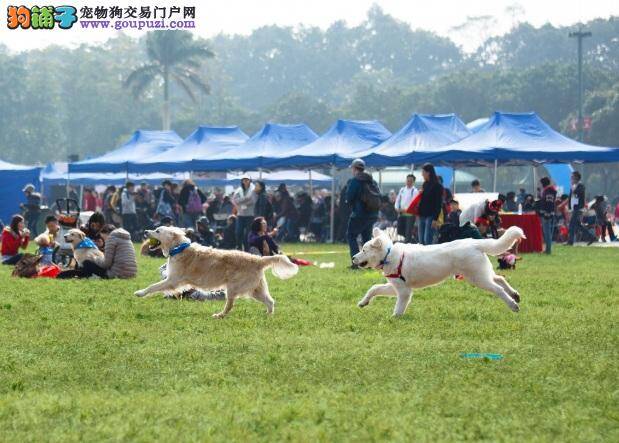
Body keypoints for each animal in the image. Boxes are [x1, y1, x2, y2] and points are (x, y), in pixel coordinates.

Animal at [134, 227, 300, 318]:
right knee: (270, 301)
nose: (145, 231)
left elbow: (153, 286)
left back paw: (219, 315)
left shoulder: (172, 280)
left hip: (233, 288)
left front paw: (140, 293)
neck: (179, 248)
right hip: (255, 290)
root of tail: (258, 259)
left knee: (229, 306)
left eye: (157, 230)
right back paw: (268, 315)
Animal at [352, 227, 524, 318]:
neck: (388, 255)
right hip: (481, 274)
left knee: (498, 289)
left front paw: (394, 318)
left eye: (364, 250)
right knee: (500, 278)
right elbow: (374, 288)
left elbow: (399, 307)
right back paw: (515, 294)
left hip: (478, 278)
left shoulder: (404, 291)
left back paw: (513, 304)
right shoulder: (395, 286)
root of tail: (474, 243)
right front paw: (363, 302)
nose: (353, 258)